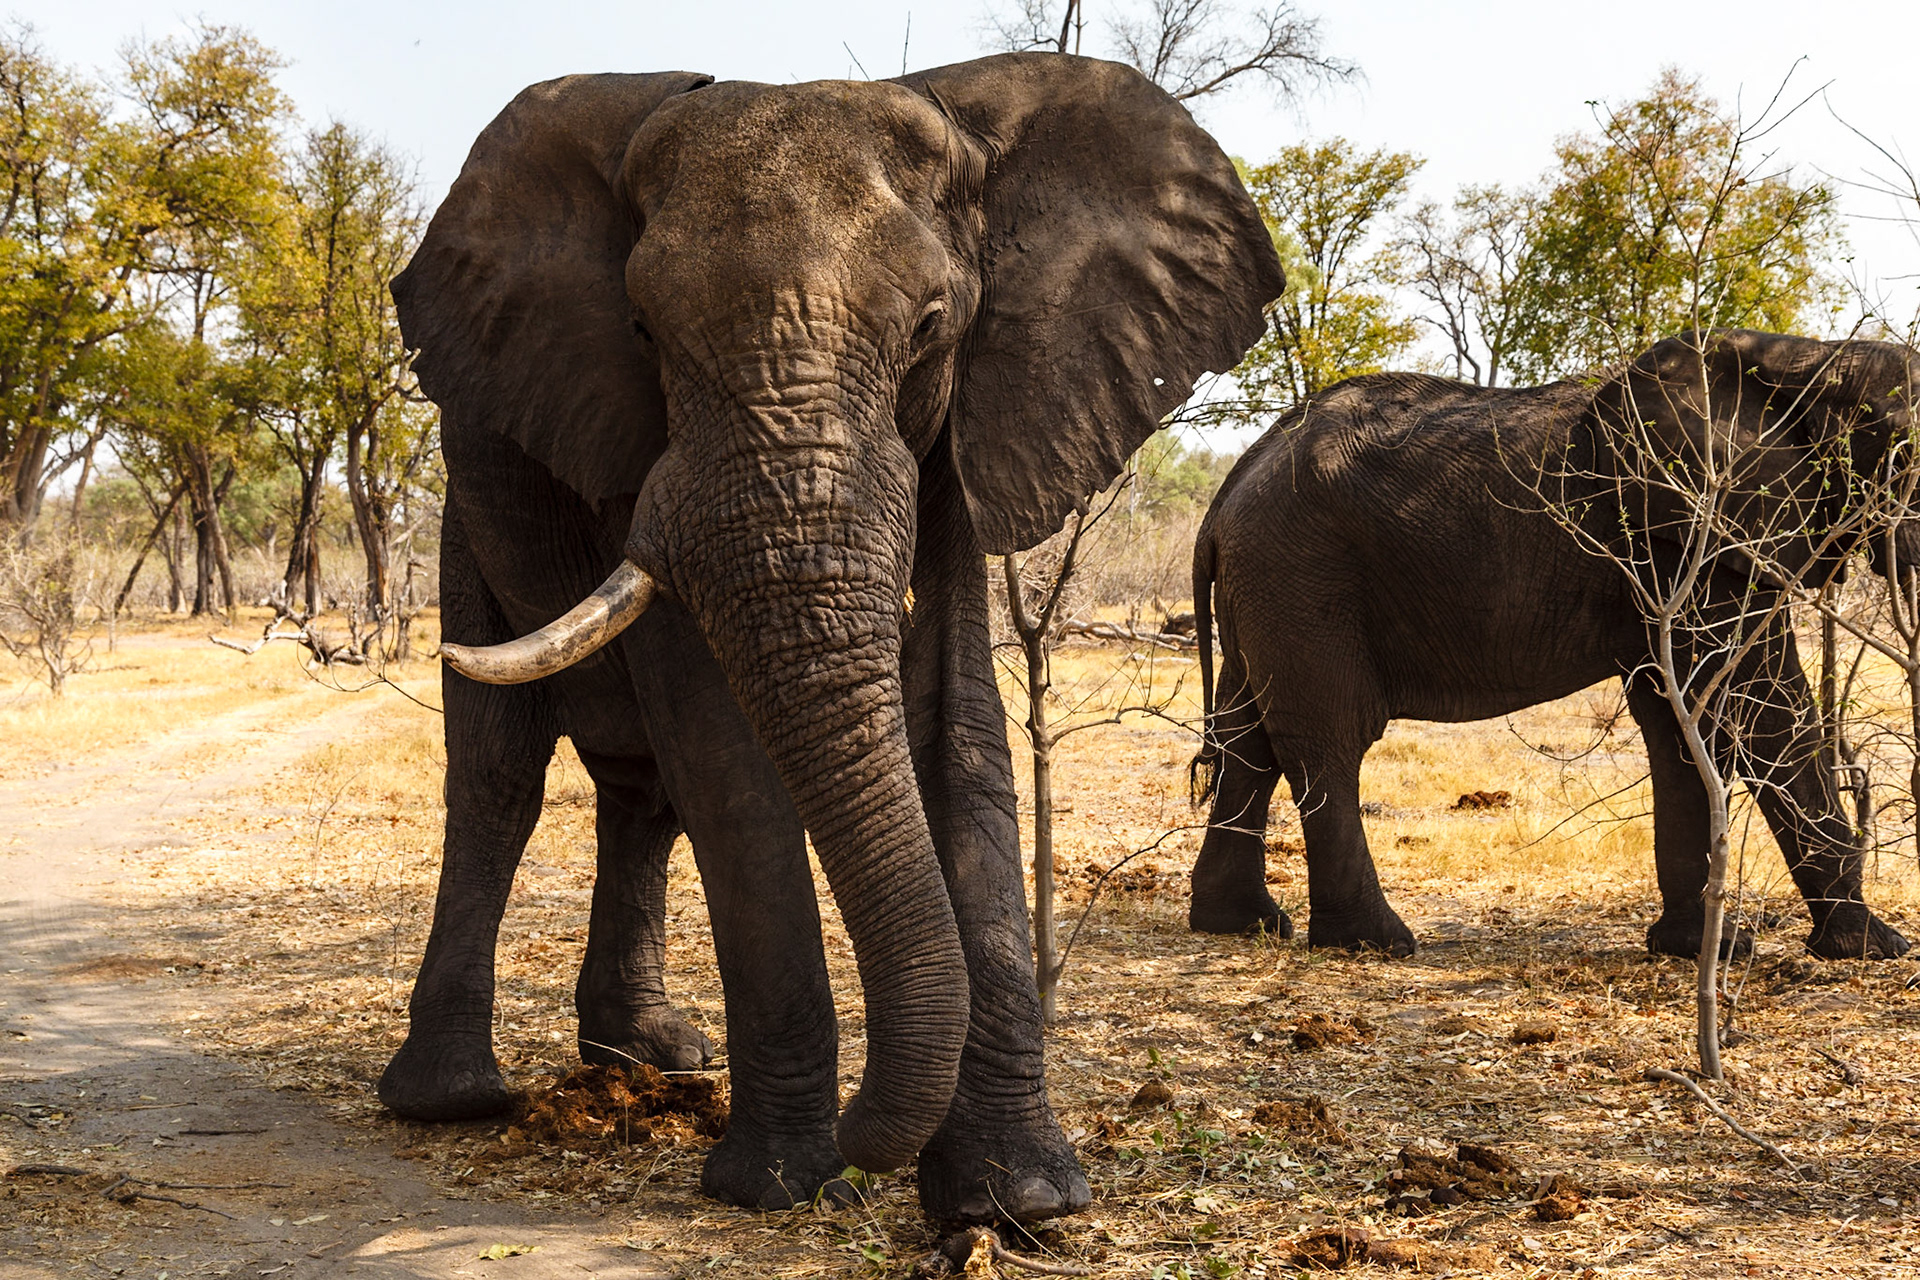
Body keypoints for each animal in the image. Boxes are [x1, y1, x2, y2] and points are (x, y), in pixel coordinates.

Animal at [378, 52, 1283, 1223]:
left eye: (931, 326)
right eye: (643, 334)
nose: (868, 1142)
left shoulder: (964, 429)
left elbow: (958, 718)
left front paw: (1018, 1198)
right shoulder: (634, 453)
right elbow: (722, 753)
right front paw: (779, 1182)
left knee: (639, 795)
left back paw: (654, 1061)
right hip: (468, 503)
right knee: (500, 770)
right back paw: (453, 1099)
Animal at [1187, 329, 1915, 962]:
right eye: (1905, 453)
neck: (1809, 356)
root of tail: (1227, 493)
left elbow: (1678, 719)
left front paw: (1699, 949)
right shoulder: (1693, 534)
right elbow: (1759, 705)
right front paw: (1874, 947)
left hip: (1267, 585)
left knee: (1249, 739)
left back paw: (1243, 924)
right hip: (1302, 576)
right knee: (1329, 739)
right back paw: (1376, 942)